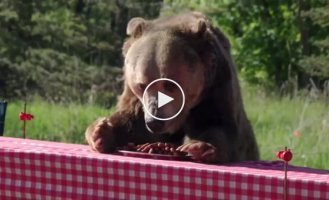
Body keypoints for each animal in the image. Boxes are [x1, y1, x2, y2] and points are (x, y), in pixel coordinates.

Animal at [85, 11, 258, 163]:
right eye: (141, 84)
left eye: (169, 84)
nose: (154, 121)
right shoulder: (136, 99)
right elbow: (132, 122)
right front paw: (99, 131)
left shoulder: (217, 87)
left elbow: (217, 124)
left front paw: (198, 146)